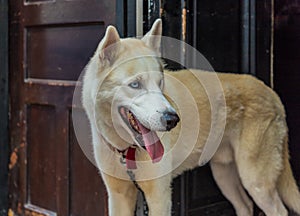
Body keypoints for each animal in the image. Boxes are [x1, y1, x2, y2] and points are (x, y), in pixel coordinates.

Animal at [82, 19, 300, 216]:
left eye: (160, 83)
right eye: (135, 85)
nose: (172, 120)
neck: (127, 151)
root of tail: (272, 93)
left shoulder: (160, 196)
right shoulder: (118, 196)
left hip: (255, 180)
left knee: (279, 210)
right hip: (224, 174)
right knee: (245, 206)